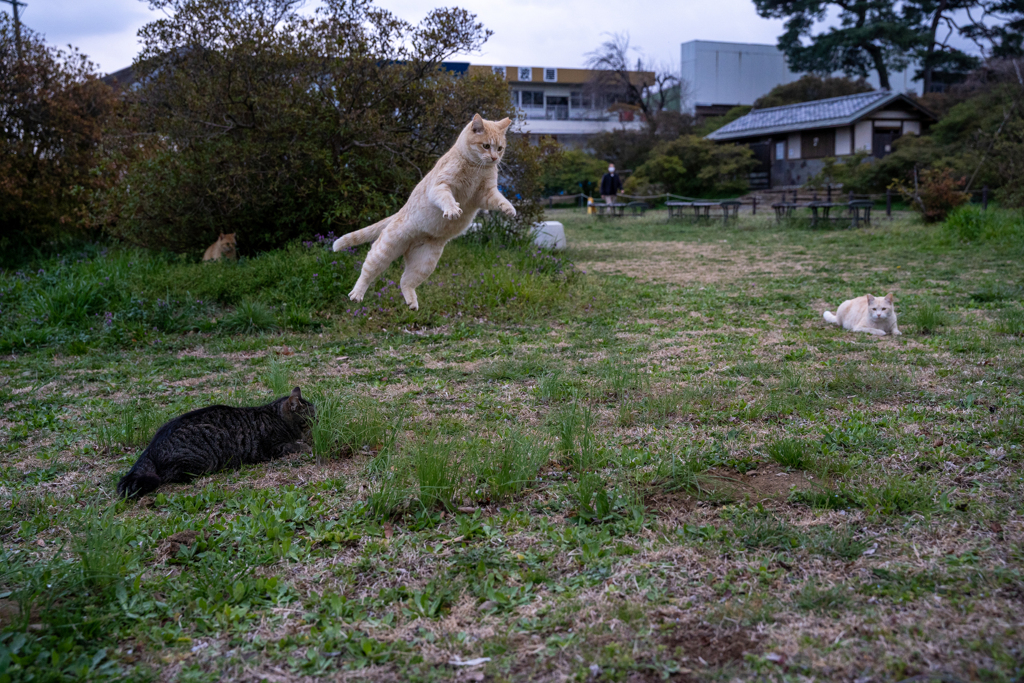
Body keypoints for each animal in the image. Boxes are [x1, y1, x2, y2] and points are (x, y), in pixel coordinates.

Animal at [117, 387, 315, 499]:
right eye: (310, 419)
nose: (318, 423)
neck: (277, 417)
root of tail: (150, 448)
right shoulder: (274, 447)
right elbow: (296, 445)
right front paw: (307, 445)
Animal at [333, 114, 516, 313]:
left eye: (500, 148)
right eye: (486, 146)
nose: (495, 158)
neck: (476, 168)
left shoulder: (486, 194)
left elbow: (500, 200)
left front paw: (509, 209)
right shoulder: (441, 186)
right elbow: (447, 199)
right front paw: (452, 210)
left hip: (424, 264)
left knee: (405, 281)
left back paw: (412, 303)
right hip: (384, 251)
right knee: (367, 272)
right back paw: (357, 294)